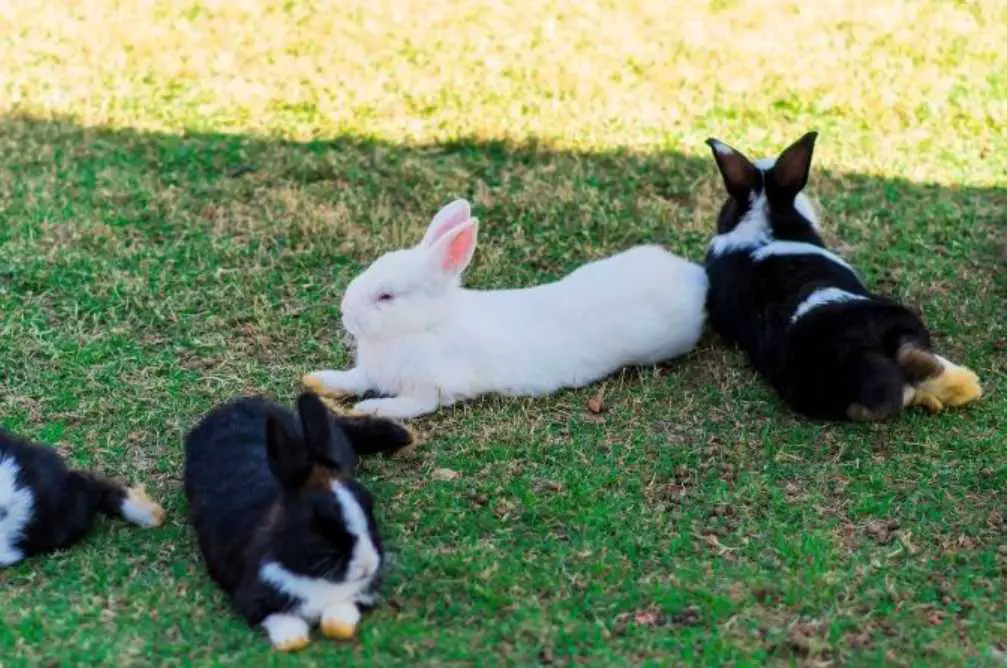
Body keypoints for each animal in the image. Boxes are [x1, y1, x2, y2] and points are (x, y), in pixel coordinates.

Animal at [185, 394, 412, 648]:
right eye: (318, 524)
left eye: (369, 504)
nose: (367, 566)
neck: (313, 576)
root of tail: (231, 407)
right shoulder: (254, 598)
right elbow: (278, 618)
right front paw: (293, 640)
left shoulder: (358, 594)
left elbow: (342, 611)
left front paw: (337, 626)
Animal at [306, 198, 708, 419]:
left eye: (386, 297)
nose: (346, 313)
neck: (425, 326)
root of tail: (693, 276)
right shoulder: (371, 373)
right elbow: (353, 378)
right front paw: (317, 380)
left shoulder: (430, 388)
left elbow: (410, 406)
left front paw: (369, 410)